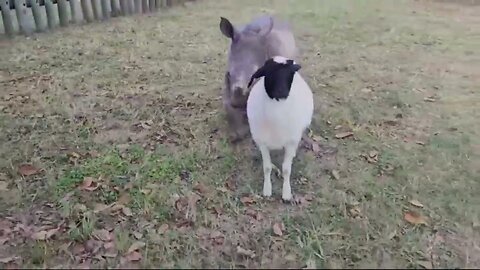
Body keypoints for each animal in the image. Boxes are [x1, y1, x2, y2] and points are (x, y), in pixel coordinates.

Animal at [246, 56, 314, 201]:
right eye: (268, 72)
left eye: (290, 73)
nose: (282, 92)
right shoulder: (263, 143)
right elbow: (266, 167)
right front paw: (267, 190)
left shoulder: (291, 142)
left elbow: (286, 169)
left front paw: (286, 193)